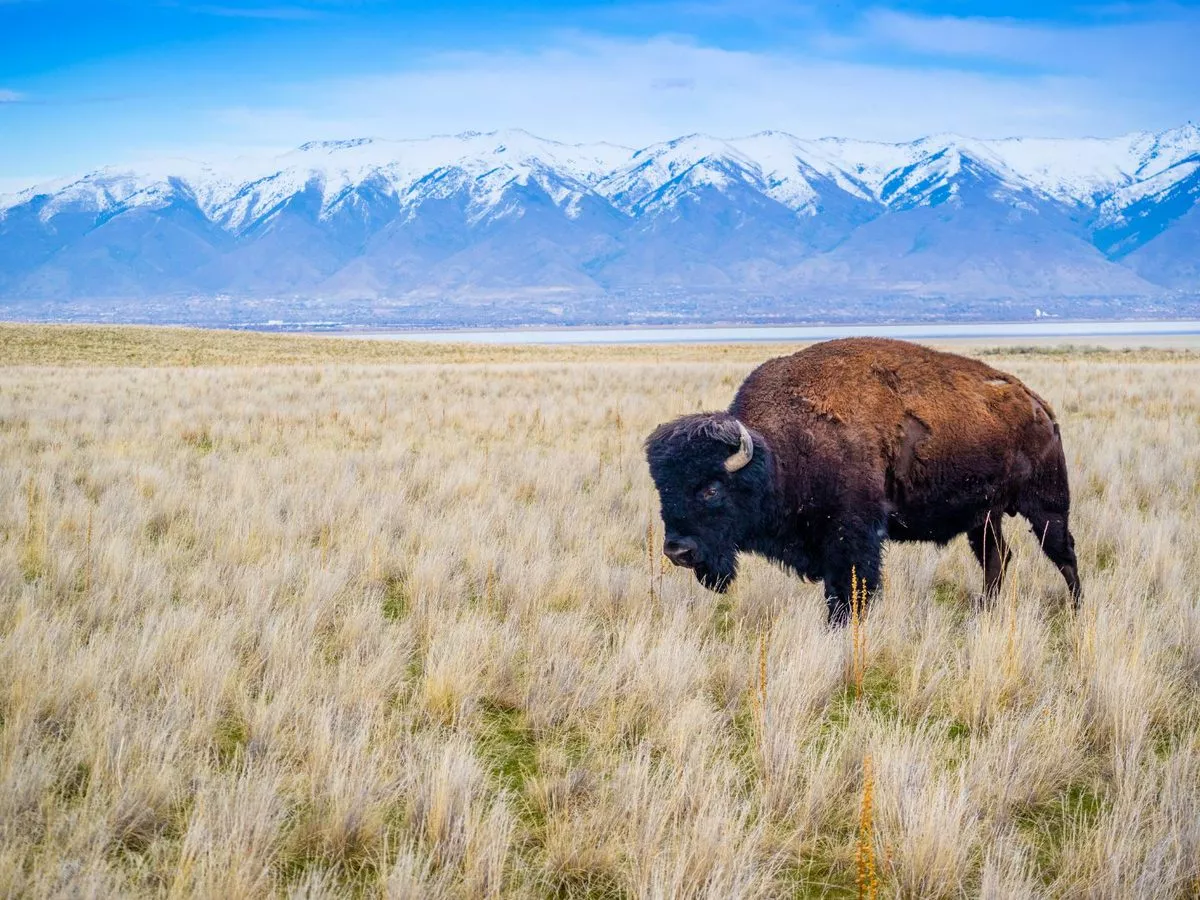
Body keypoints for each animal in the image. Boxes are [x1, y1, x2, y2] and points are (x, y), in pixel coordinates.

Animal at [652, 338, 1084, 628]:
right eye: (663, 491)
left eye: (711, 489)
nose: (677, 551)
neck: (777, 453)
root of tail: (1038, 405)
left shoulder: (854, 537)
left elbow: (850, 591)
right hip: (984, 516)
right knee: (997, 557)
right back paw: (985, 610)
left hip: (1046, 505)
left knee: (1062, 553)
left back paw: (1077, 608)